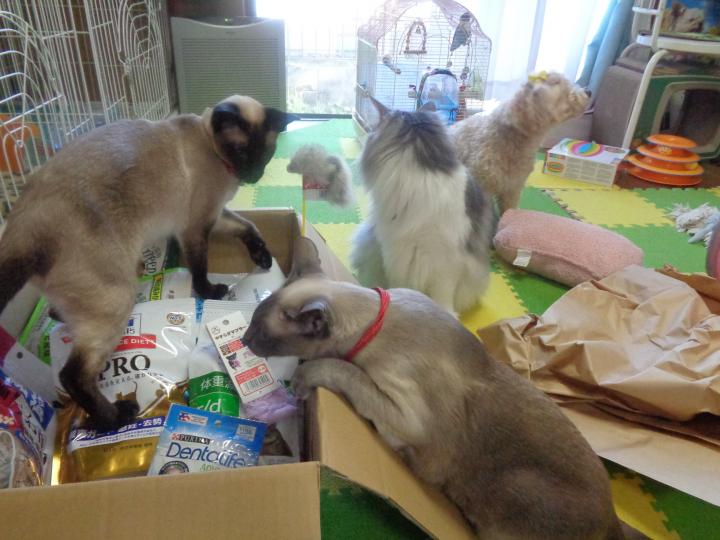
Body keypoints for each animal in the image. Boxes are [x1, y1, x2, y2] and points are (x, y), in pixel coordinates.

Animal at [0, 95, 295, 431]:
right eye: (242, 151)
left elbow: (248, 226)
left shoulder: (216, 216)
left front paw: (262, 257)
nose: (253, 175)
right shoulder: (196, 227)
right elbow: (201, 268)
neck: (208, 141)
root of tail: (25, 232)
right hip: (117, 300)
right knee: (73, 375)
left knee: (55, 314)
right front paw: (210, 292)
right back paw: (116, 418)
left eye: (266, 154)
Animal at [243, 237, 625, 539]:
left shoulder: (404, 412)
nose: (244, 341)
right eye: (250, 324)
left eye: (259, 331)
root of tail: (612, 519)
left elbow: (343, 369)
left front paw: (303, 378)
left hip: (515, 486)